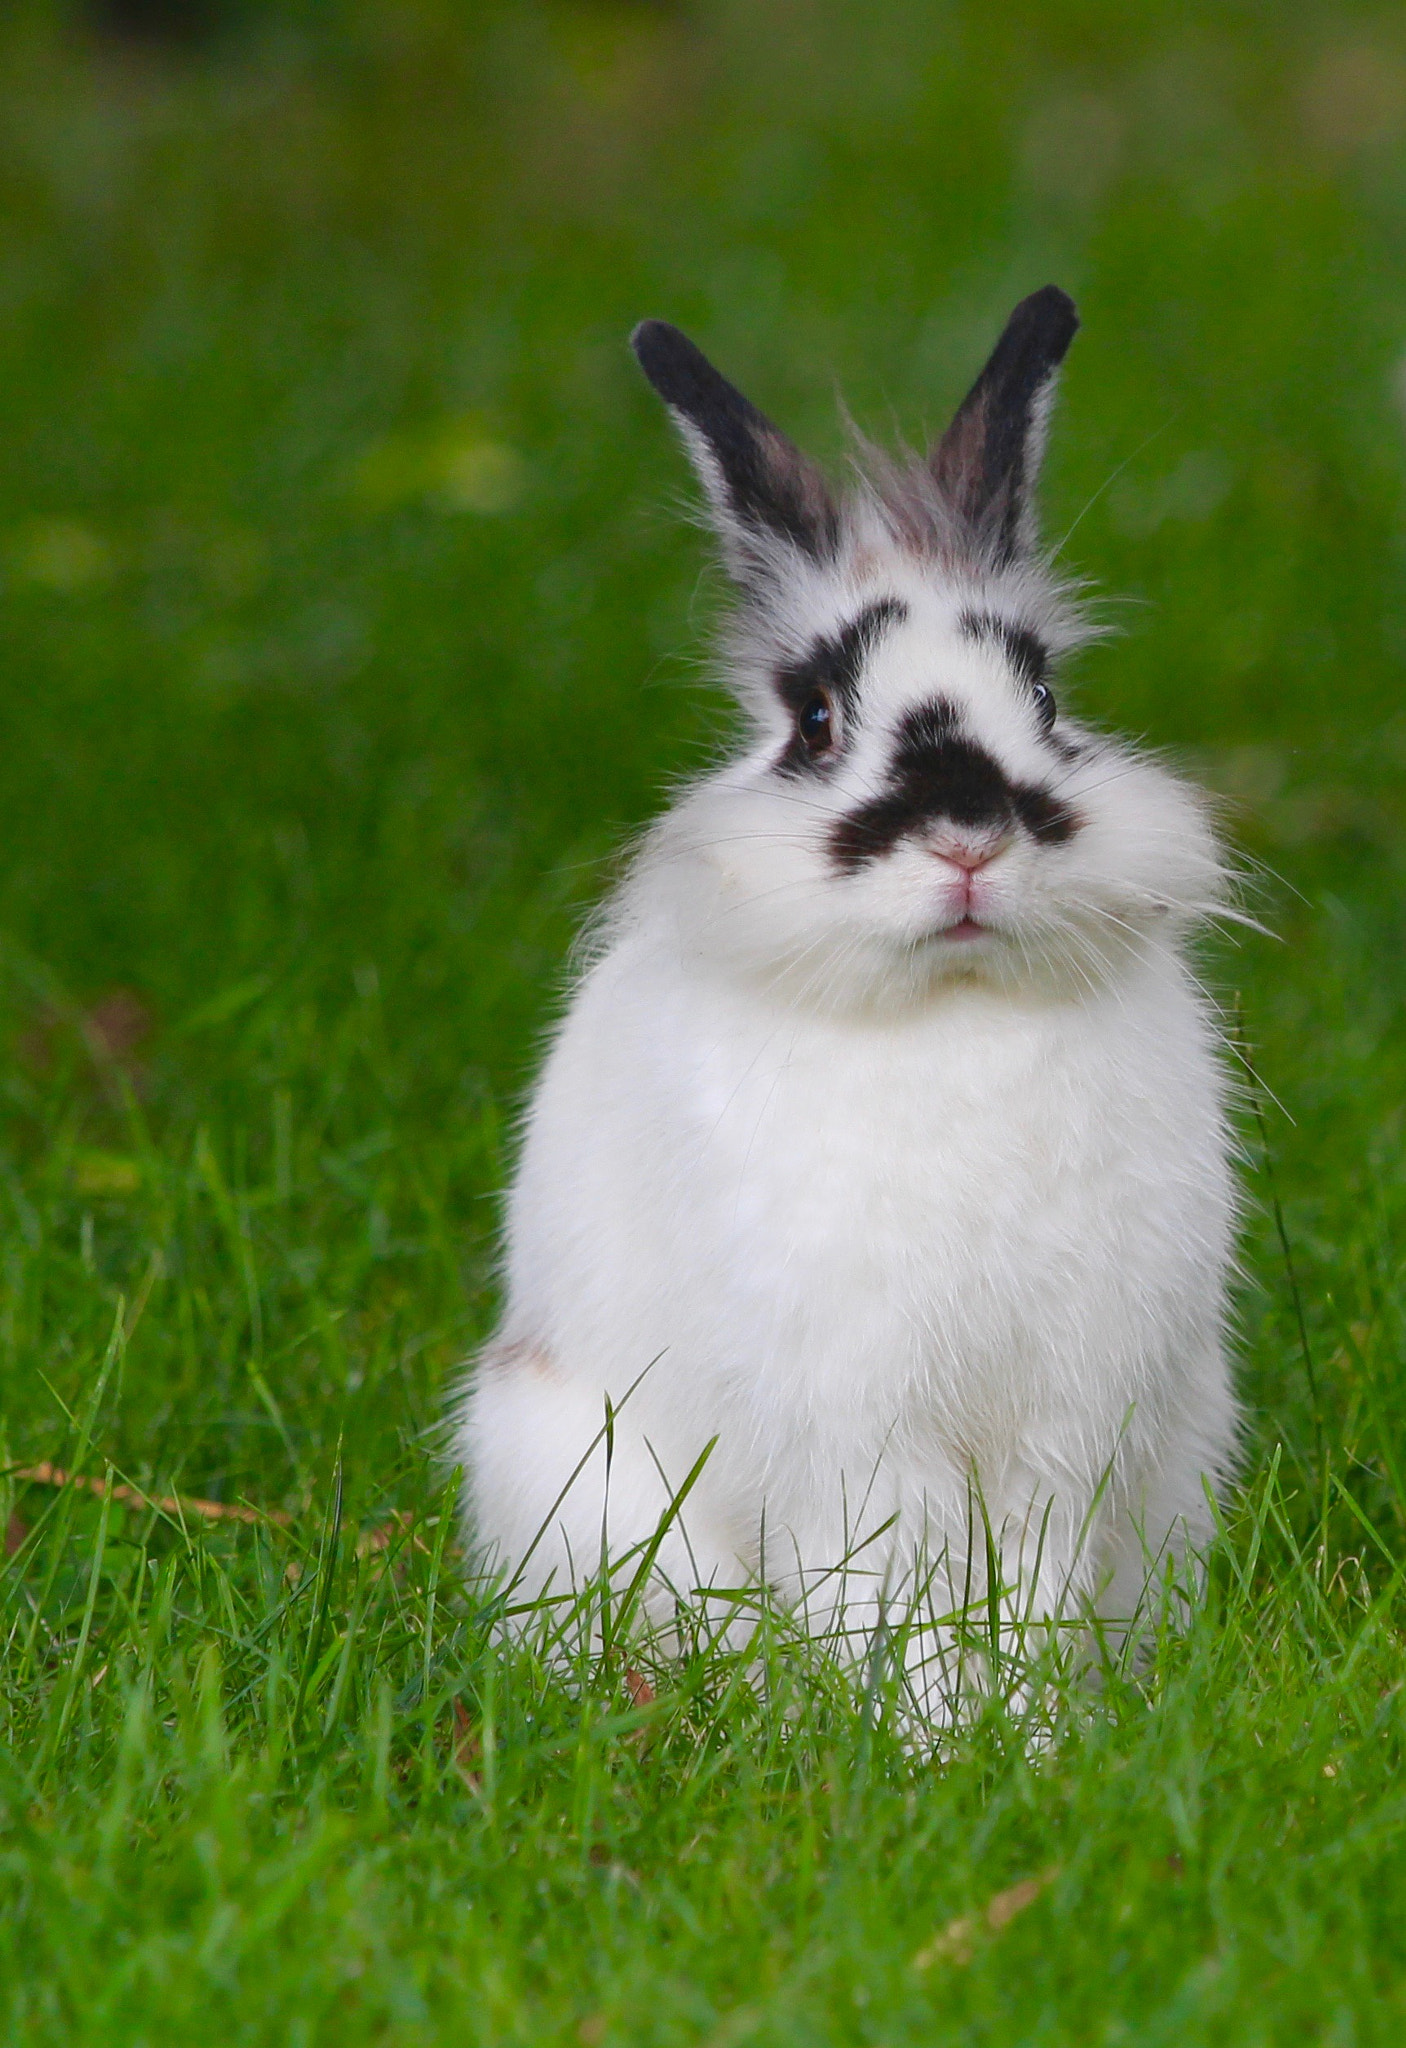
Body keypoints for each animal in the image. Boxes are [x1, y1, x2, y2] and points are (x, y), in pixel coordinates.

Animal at [457, 287, 1240, 1704]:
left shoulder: (1062, 1419)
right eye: (817, 718)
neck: (953, 1010)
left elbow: (1024, 1582)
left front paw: (1025, 1725)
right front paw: (925, 1727)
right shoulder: (851, 1422)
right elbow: (891, 1586)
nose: (967, 836)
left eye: (1043, 694)